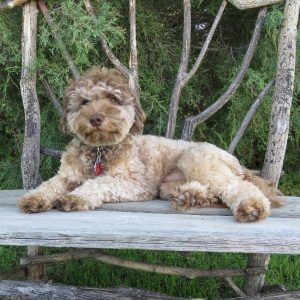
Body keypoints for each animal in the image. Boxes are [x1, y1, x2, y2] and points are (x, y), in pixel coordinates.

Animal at [17, 68, 284, 223]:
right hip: (168, 185)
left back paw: (251, 207)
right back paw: (192, 197)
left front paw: (75, 197)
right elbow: (49, 185)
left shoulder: (137, 184)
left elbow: (98, 183)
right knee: (214, 193)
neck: (100, 149)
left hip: (197, 160)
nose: (96, 118)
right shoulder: (66, 176)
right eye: (84, 101)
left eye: (113, 99)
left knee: (237, 187)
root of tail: (237, 163)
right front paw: (34, 198)